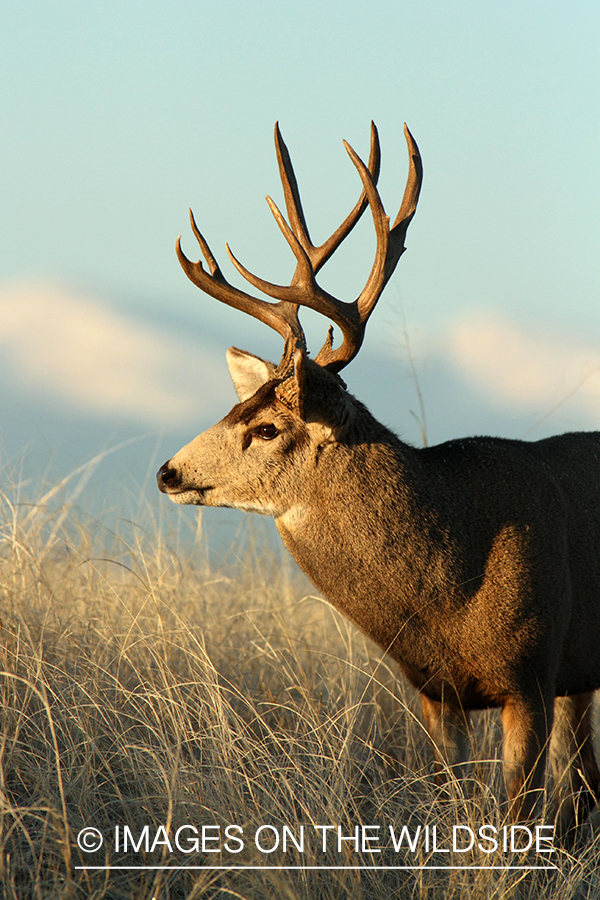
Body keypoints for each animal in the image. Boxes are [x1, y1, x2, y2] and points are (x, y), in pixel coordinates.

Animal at [156, 123, 600, 840]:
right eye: (235, 406)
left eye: (268, 428)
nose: (168, 471)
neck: (452, 584)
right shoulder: (434, 690)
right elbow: (454, 808)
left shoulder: (531, 670)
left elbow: (514, 822)